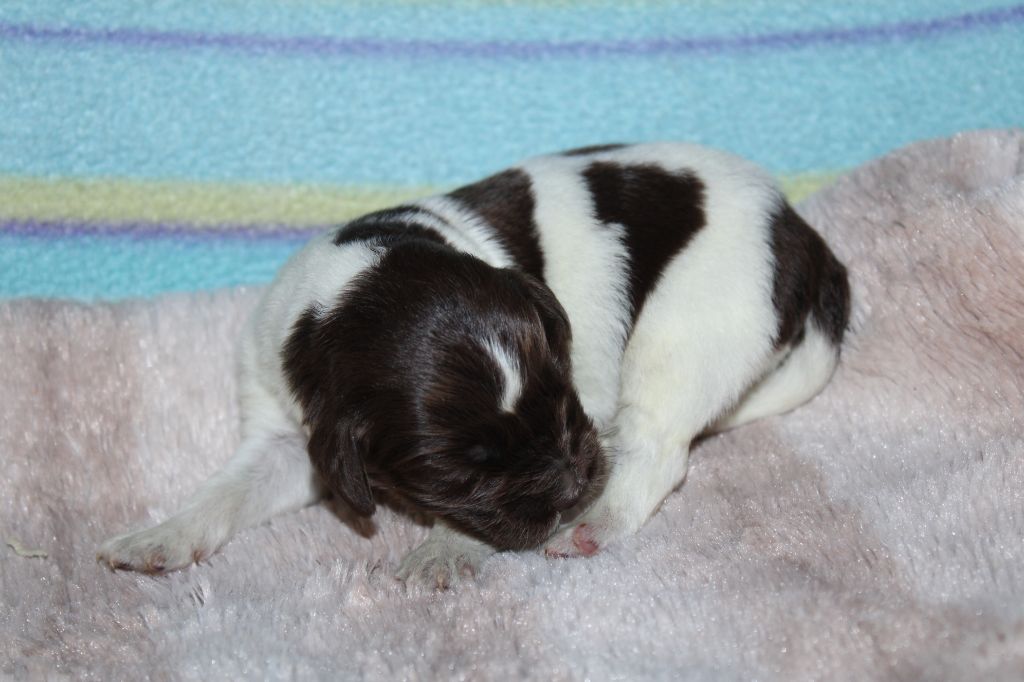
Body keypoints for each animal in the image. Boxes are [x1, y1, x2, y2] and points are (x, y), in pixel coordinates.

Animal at [97, 142, 849, 588]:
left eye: (567, 404)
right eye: (461, 473)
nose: (570, 479)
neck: (355, 285)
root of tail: (800, 234)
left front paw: (447, 549)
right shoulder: (286, 433)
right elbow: (225, 493)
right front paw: (160, 537)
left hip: (685, 329)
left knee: (659, 452)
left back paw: (596, 523)